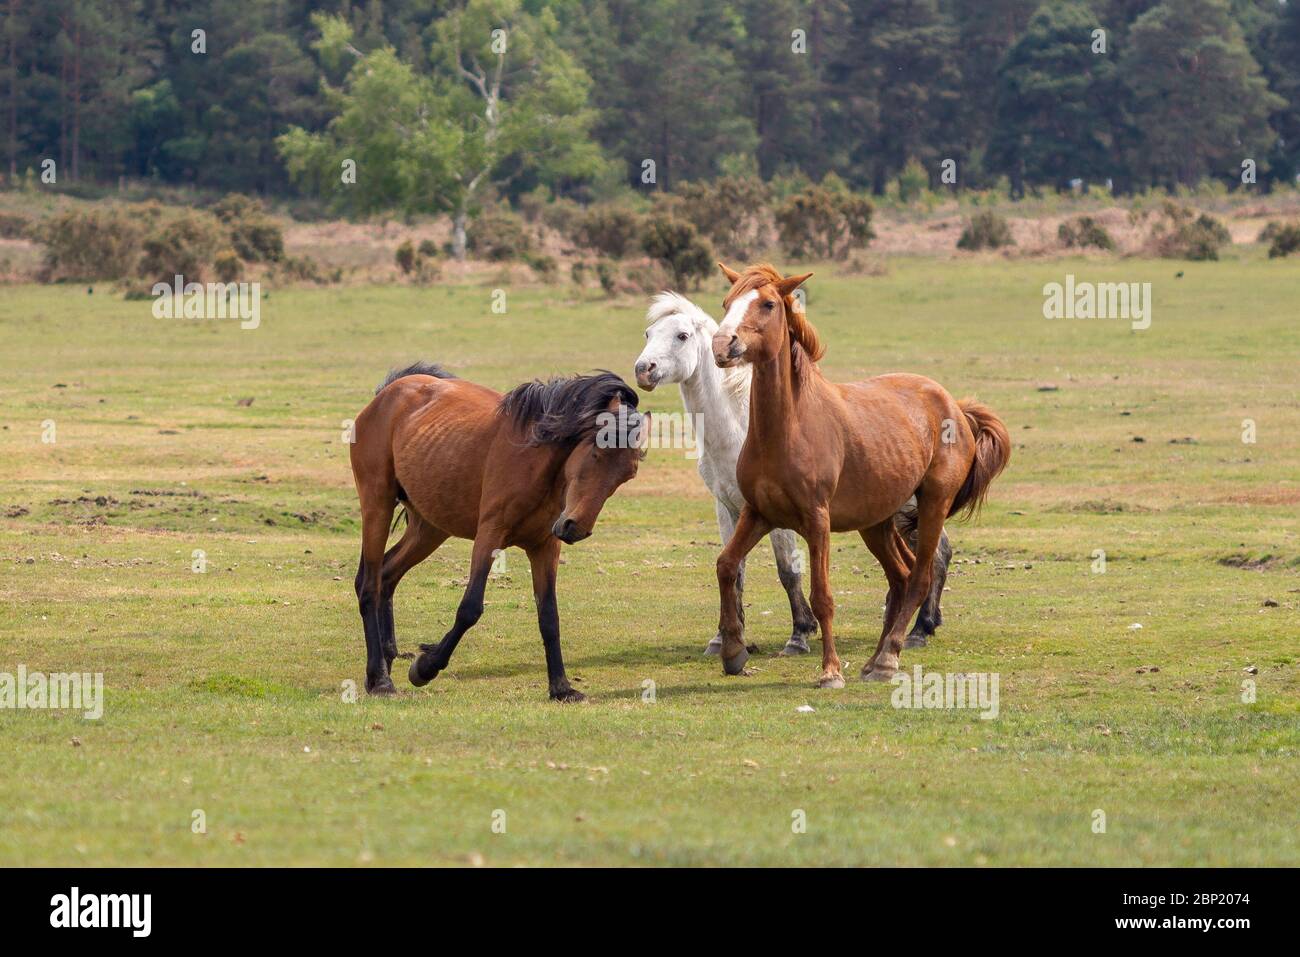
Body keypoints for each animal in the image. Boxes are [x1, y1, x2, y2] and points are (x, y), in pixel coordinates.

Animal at [348, 361, 647, 696]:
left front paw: (561, 687)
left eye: (626, 476)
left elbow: (549, 617)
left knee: (387, 575)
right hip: (377, 505)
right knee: (369, 585)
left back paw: (385, 660)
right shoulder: (489, 535)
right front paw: (425, 667)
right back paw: (380, 679)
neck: (536, 462)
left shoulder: (545, 547)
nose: (575, 529)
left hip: (429, 528)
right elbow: (470, 609)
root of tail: (387, 394)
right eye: (597, 453)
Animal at [634, 291, 951, 655]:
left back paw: (919, 629)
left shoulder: (776, 514)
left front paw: (799, 634)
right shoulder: (727, 508)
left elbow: (788, 569)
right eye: (648, 333)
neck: (741, 428)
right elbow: (734, 569)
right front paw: (723, 639)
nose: (643, 369)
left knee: (936, 555)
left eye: (682, 336)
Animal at [712, 263, 1003, 686]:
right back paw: (876, 658)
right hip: (877, 523)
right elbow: (726, 567)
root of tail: (954, 406)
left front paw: (830, 671)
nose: (722, 344)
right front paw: (733, 652)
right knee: (900, 578)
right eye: (727, 302)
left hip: (933, 504)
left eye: (767, 304)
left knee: (919, 578)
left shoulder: (817, 521)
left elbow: (822, 597)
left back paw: (888, 657)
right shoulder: (758, 513)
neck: (786, 429)